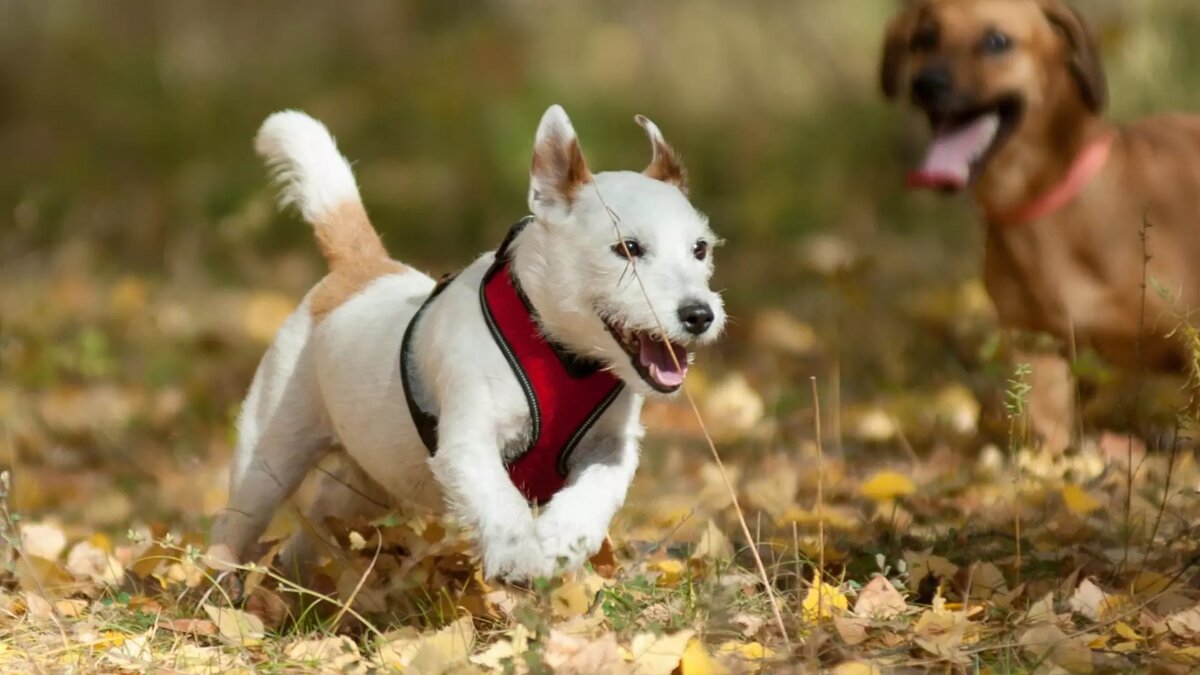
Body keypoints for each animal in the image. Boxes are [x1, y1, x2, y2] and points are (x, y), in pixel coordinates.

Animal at [208, 103, 720, 578]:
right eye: (628, 248)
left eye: (700, 248)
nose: (700, 315)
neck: (560, 351)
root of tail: (359, 269)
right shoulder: (469, 441)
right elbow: (499, 499)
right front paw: (518, 555)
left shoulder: (612, 447)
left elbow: (597, 488)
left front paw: (563, 537)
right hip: (268, 456)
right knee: (235, 523)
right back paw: (218, 586)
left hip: (368, 482)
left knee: (310, 533)